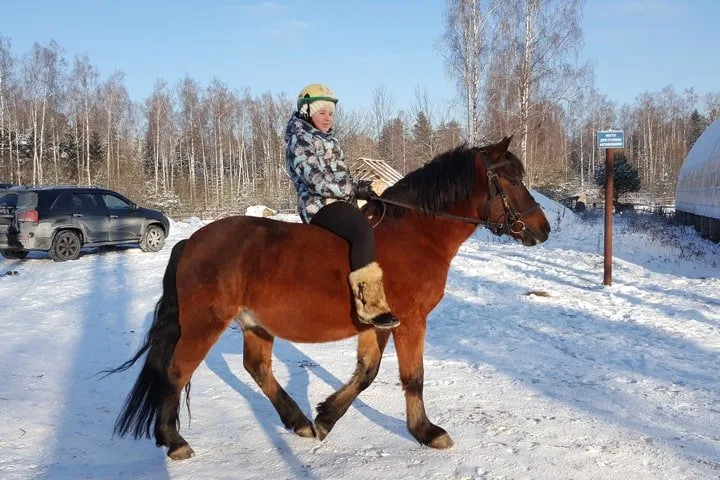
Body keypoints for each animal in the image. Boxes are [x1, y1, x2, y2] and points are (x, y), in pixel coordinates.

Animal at [108, 136, 551, 460]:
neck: (417, 234)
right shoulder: (411, 320)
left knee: (257, 368)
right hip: (204, 324)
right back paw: (174, 441)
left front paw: (326, 417)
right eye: (511, 180)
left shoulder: (379, 324)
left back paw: (298, 421)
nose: (542, 229)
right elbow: (413, 377)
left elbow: (367, 373)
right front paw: (426, 432)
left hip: (254, 323)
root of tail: (191, 242)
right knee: (177, 371)